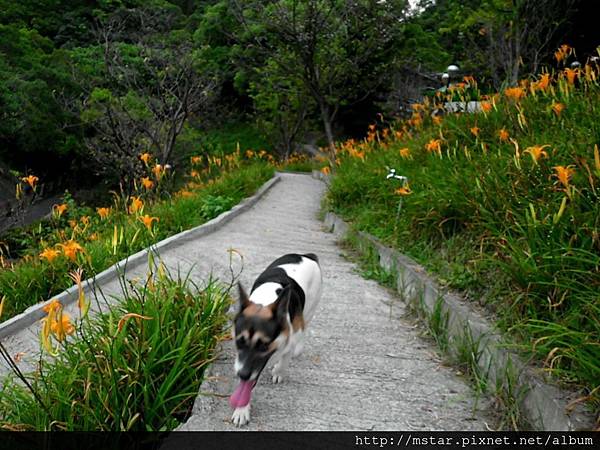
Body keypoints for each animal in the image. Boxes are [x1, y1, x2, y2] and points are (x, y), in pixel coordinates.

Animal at [230, 253, 324, 426]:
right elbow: (246, 386)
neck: (265, 301)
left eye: (264, 345)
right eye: (239, 341)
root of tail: (306, 256)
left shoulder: (290, 338)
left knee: (305, 326)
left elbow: (285, 359)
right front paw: (242, 409)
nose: (242, 374)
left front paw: (278, 371)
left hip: (310, 308)